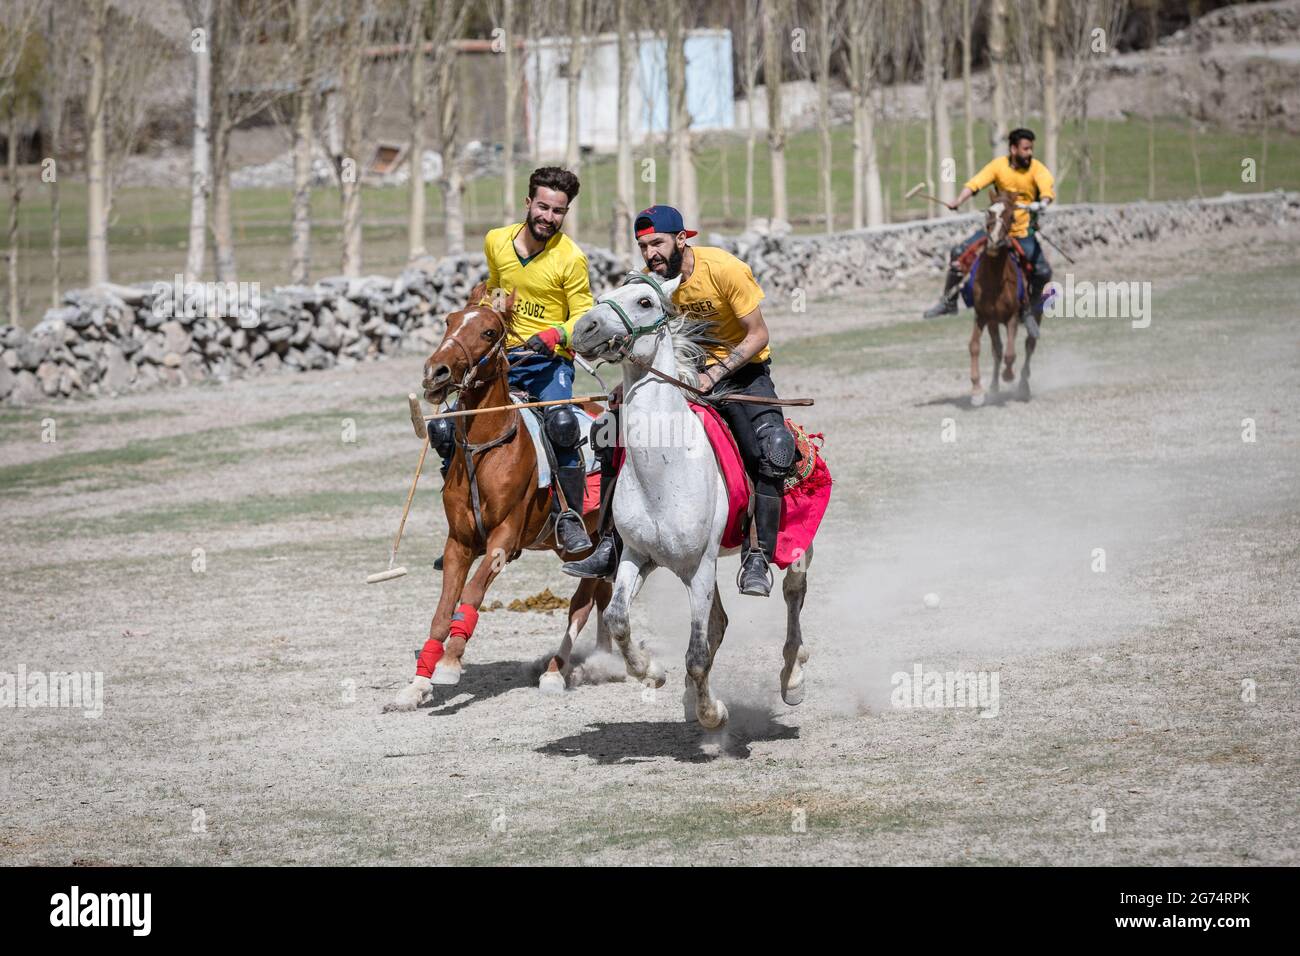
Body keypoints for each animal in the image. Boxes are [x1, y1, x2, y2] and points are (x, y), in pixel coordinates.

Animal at [384, 280, 608, 712]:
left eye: (489, 332)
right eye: (449, 320)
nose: (435, 371)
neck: (484, 448)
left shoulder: (503, 540)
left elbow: (472, 594)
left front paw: (450, 663)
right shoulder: (459, 542)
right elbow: (442, 611)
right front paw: (417, 686)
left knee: (583, 604)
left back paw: (557, 671)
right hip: (574, 548)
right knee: (599, 595)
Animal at [572, 273, 811, 728]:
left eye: (645, 301)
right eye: (602, 296)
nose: (583, 329)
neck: (664, 472)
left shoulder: (699, 566)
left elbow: (697, 653)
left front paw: (712, 713)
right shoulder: (637, 555)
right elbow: (618, 618)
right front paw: (652, 672)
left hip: (794, 544)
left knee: (794, 592)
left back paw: (792, 679)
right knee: (719, 622)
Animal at [972, 192, 1040, 405]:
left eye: (1011, 217)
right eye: (989, 212)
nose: (994, 241)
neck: (995, 279)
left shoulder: (1012, 317)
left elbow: (1011, 354)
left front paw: (1008, 375)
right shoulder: (982, 316)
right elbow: (975, 347)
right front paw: (977, 391)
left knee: (1029, 345)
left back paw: (1023, 387)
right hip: (994, 322)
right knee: (998, 350)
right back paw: (994, 388)